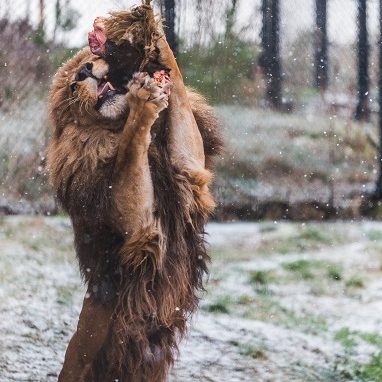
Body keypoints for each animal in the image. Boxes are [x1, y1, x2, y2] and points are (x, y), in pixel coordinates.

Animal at [46, 3, 222, 382]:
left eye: (91, 60)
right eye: (73, 87)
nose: (85, 70)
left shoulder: (189, 172)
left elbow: (177, 88)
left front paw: (150, 32)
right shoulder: (140, 229)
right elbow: (130, 147)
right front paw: (143, 101)